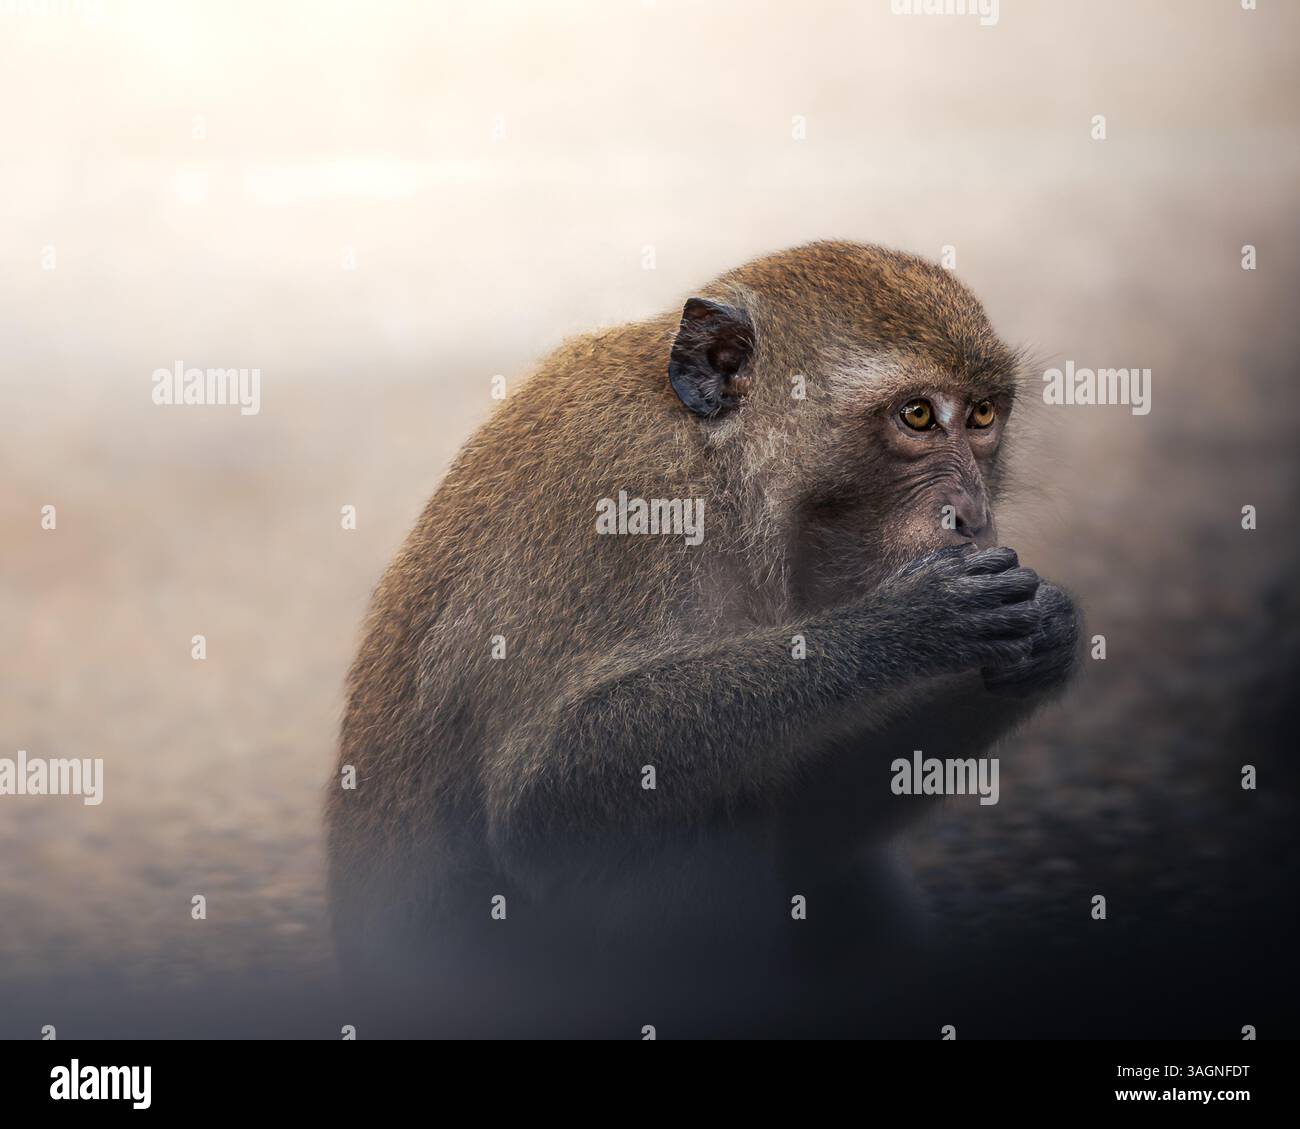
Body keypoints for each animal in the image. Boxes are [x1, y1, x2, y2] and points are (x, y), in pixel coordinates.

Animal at [325, 241, 1080, 1037]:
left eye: (982, 414)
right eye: (918, 415)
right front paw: (917, 625)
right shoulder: (623, 491)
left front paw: (1050, 633)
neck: (723, 473)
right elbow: (539, 800)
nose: (972, 514)